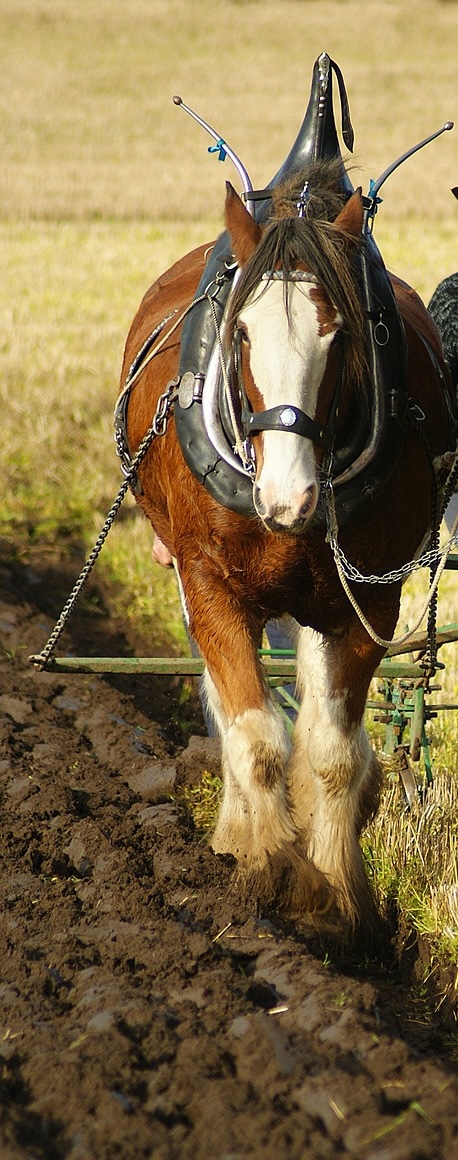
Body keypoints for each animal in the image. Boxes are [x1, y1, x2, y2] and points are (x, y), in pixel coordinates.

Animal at [118, 159, 456, 939]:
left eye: (341, 334)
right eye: (241, 333)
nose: (287, 498)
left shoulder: (368, 600)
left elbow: (330, 750)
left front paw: (335, 890)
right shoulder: (209, 583)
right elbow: (256, 737)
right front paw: (267, 865)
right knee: (228, 705)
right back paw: (236, 832)